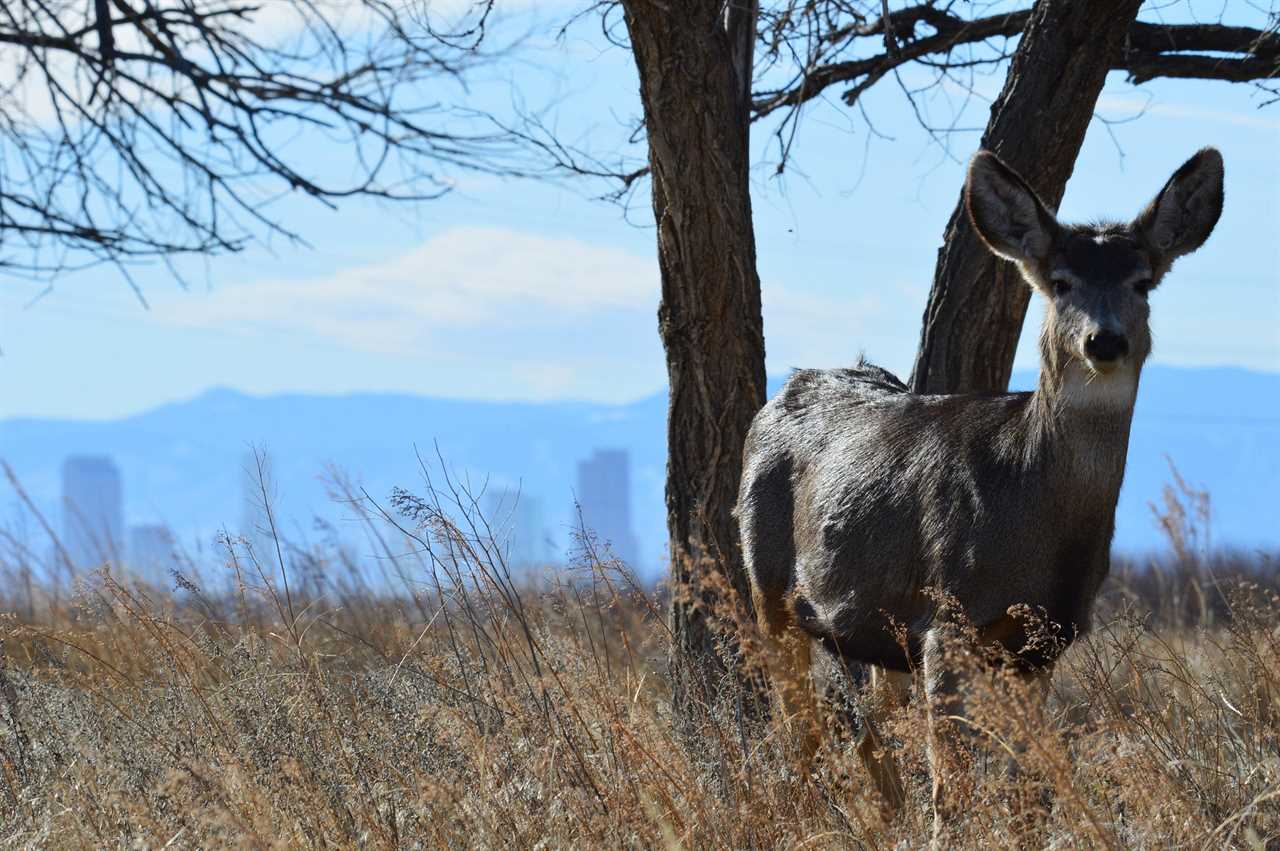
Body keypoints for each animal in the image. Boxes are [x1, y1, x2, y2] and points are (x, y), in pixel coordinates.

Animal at [742, 147, 1228, 829]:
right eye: (1060, 282)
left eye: (1142, 282)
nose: (1105, 339)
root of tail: (789, 387)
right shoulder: (949, 619)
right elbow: (953, 784)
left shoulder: (1043, 641)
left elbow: (1025, 779)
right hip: (769, 586)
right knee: (801, 729)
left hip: (870, 622)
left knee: (865, 725)